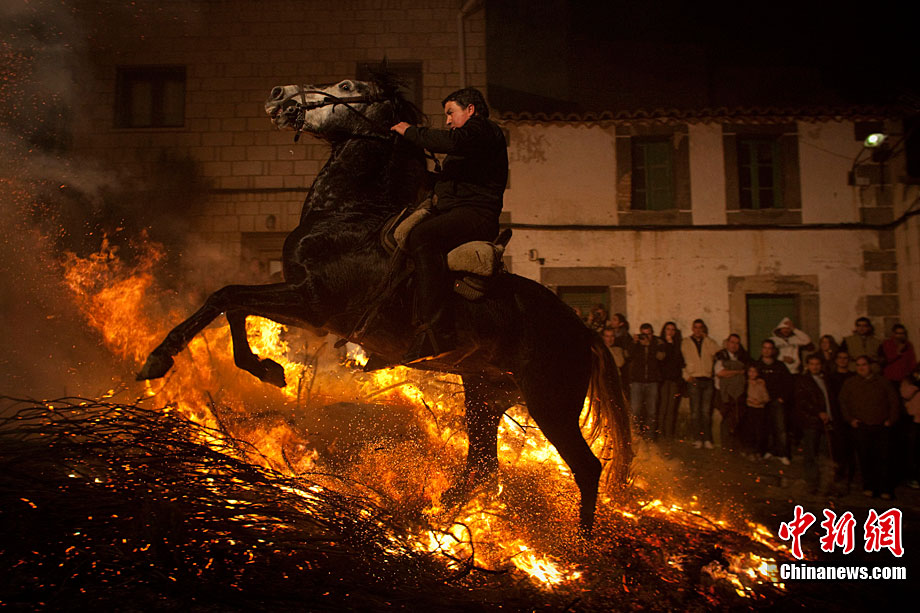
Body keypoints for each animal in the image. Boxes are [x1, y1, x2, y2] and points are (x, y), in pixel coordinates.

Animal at [138, 70, 632, 532]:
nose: (279, 95)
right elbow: (233, 305)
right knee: (482, 468)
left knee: (586, 468)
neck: (348, 215)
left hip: (551, 403)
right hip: (486, 395)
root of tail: (583, 329)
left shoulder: (313, 305)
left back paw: (582, 544)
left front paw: (161, 358)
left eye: (346, 86)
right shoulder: (304, 304)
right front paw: (265, 369)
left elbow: (226, 296)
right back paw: (428, 512)